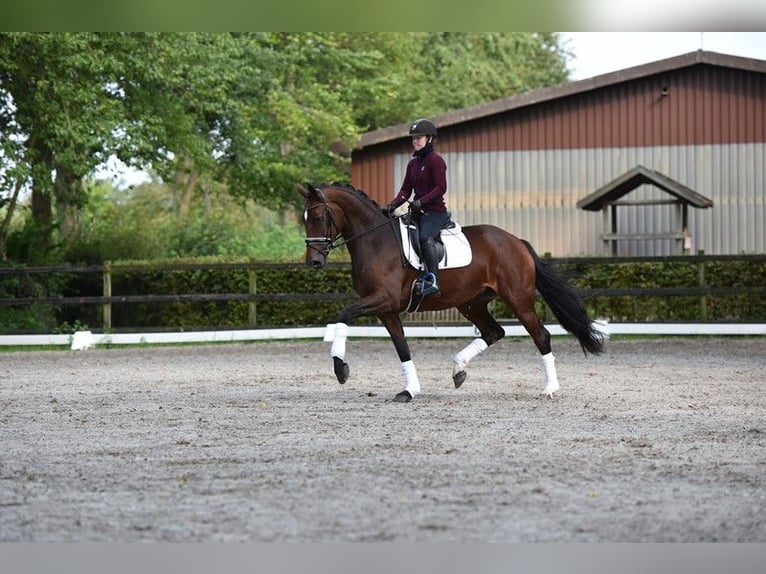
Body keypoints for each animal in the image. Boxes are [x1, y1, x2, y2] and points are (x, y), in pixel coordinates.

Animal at [300, 182, 608, 402]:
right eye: (305, 219)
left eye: (318, 216)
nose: (313, 262)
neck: (375, 240)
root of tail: (515, 241)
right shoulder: (387, 310)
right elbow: (402, 348)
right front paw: (409, 390)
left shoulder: (382, 299)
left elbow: (343, 314)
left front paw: (340, 368)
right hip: (471, 303)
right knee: (494, 332)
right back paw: (459, 369)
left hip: (518, 300)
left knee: (540, 335)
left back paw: (550, 388)